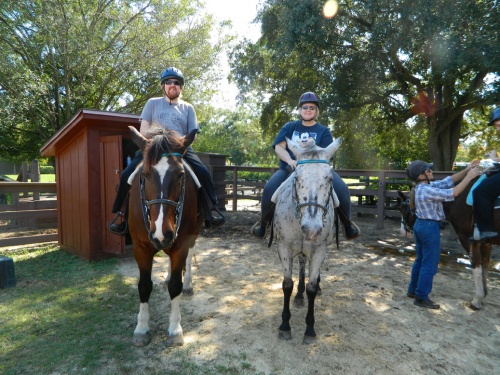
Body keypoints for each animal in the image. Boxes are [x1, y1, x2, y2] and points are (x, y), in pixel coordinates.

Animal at [127, 126, 203, 346]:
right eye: (145, 174)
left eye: (180, 174)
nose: (162, 233)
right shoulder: (140, 247)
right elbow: (144, 286)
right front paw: (141, 328)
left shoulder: (181, 245)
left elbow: (176, 286)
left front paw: (175, 329)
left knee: (190, 257)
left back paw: (188, 284)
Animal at [272, 137, 342, 346]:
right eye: (296, 178)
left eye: (329, 179)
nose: (312, 229)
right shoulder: (284, 247)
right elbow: (287, 284)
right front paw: (285, 326)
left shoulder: (319, 250)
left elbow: (311, 287)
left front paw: (310, 329)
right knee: (302, 264)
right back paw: (299, 296)